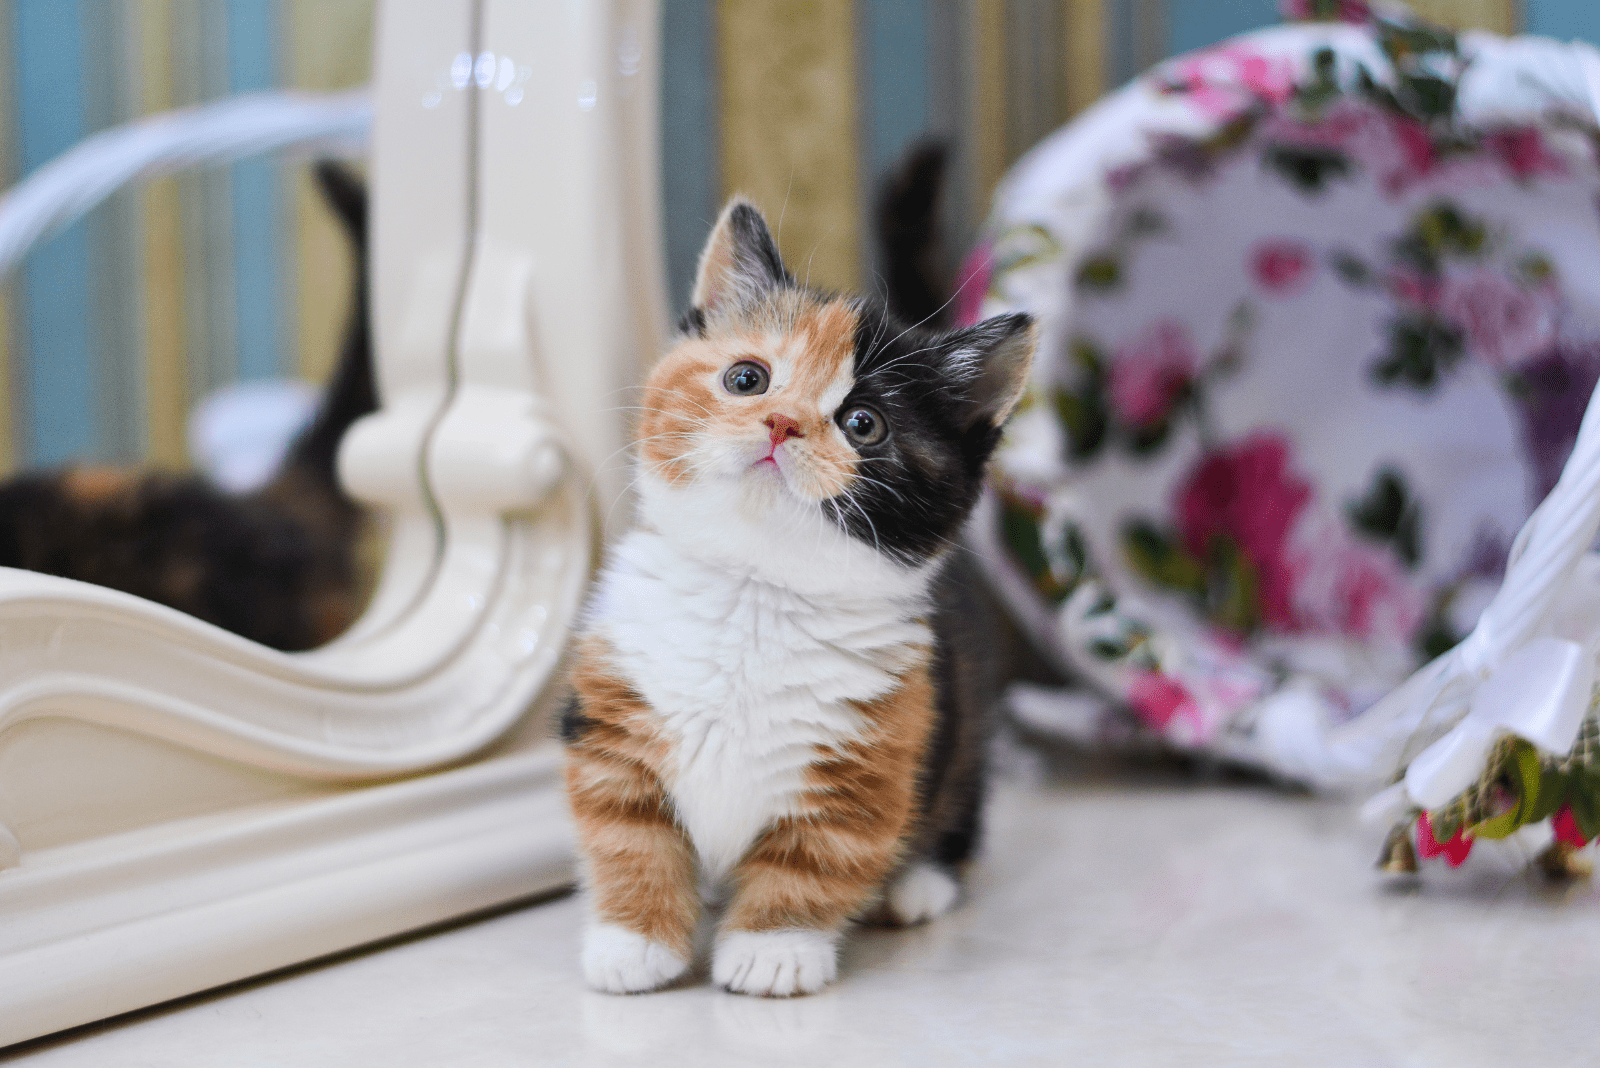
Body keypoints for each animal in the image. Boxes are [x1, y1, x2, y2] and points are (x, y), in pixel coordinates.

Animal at [563, 195, 1036, 997]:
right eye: (747, 378)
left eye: (863, 423)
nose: (782, 423)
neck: (757, 591)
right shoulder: (614, 720)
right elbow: (629, 838)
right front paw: (634, 939)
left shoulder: (874, 749)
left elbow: (814, 859)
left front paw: (772, 949)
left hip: (966, 715)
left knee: (960, 807)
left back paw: (920, 884)